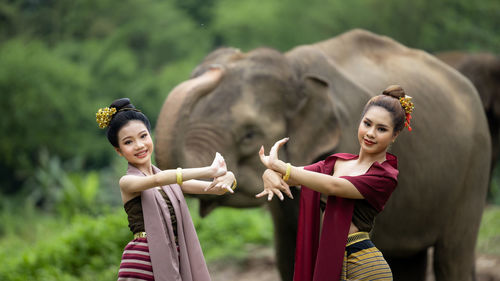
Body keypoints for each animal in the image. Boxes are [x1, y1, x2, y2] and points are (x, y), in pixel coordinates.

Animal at [154, 29, 490, 278]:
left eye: (249, 133)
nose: (220, 63)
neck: (294, 67)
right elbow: (287, 256)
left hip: (475, 168)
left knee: (452, 256)